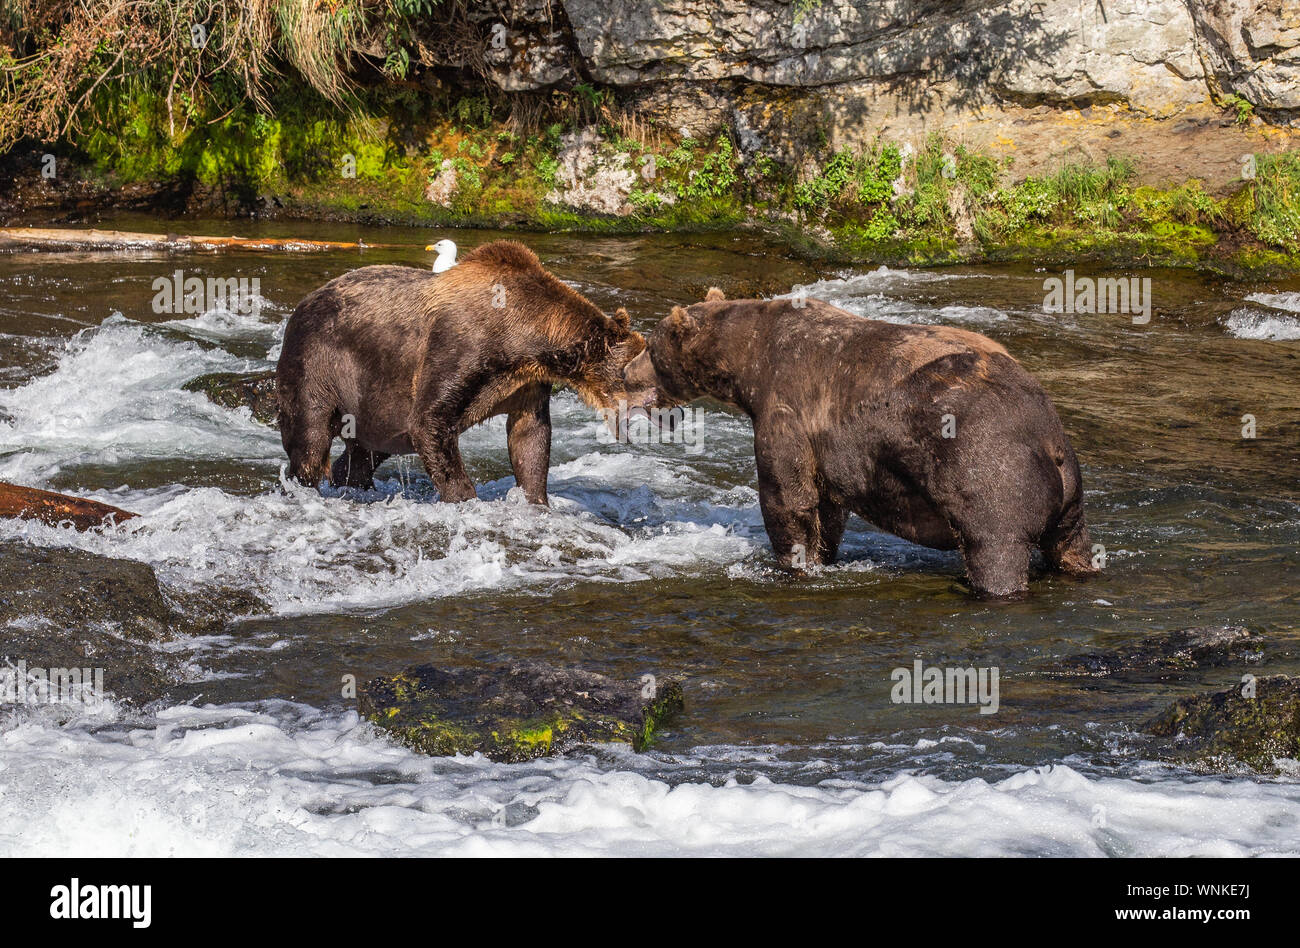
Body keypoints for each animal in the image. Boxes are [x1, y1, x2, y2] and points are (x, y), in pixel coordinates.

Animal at [275, 240, 650, 501]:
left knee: (366, 450)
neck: (523, 338)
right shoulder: (460, 349)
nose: (658, 410)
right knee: (310, 439)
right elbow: (430, 422)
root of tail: (302, 303)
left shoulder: (525, 385)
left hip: (372, 401)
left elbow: (529, 439)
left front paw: (536, 501)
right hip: (319, 362)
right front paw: (466, 499)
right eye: (644, 373)